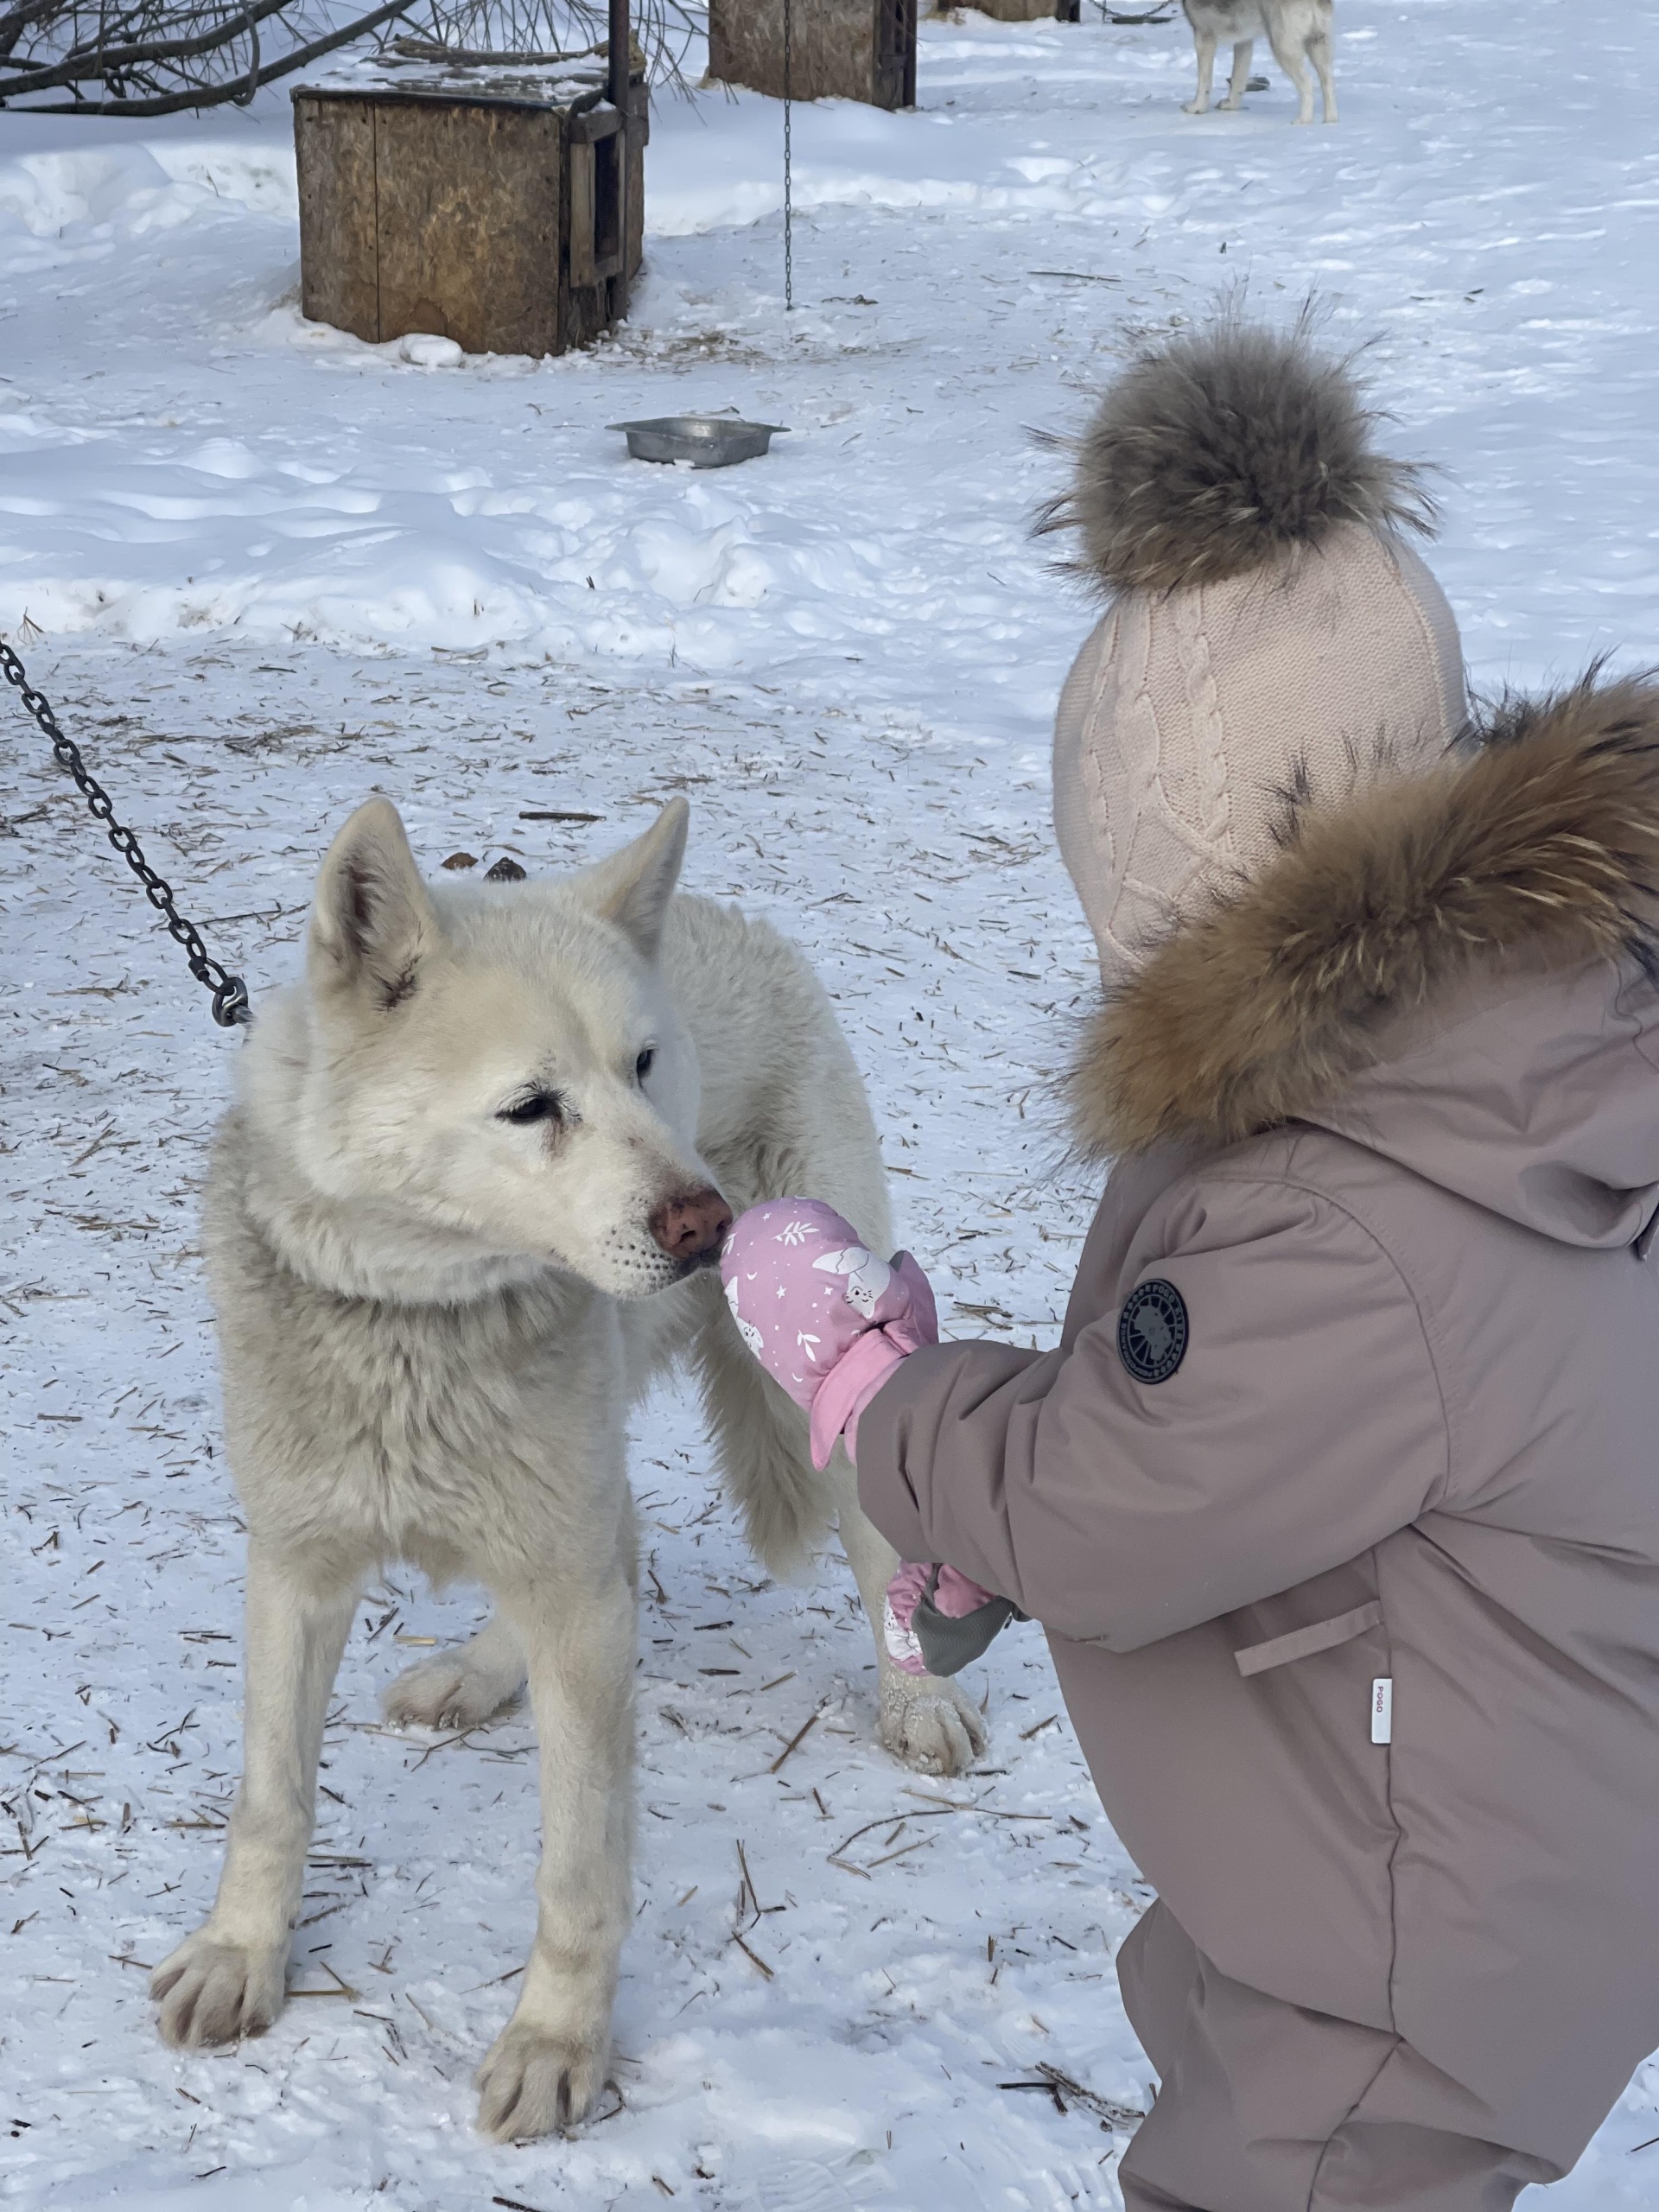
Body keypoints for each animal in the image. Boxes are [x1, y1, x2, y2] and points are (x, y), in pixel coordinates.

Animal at [145, 796, 986, 2141]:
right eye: (532, 1106)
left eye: (645, 1067)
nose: (708, 1222)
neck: (418, 1315)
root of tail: (727, 915)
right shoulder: (295, 1565)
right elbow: (271, 1799)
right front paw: (241, 1956)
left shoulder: (570, 1596)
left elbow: (578, 1872)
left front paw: (555, 2045)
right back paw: (480, 1673)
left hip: (806, 1379)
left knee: (870, 1542)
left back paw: (917, 1700)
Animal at [1185, 0, 1336, 125]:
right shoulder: (1244, 41)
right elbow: (1238, 80)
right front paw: (1230, 106)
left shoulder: (1204, 37)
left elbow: (1204, 81)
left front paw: (1197, 108)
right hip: (1318, 45)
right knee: (1327, 82)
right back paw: (1330, 121)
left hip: (1283, 49)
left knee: (1307, 82)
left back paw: (1303, 121)